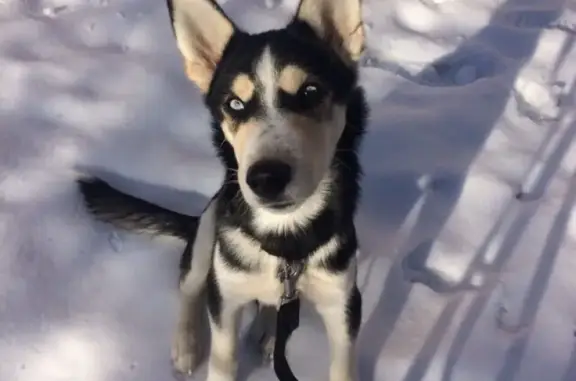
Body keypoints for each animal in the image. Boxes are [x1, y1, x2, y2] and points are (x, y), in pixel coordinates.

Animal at [77, 0, 368, 380]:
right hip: (208, 230)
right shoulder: (225, 297)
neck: (286, 242)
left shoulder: (343, 302)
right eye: (234, 104)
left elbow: (343, 365)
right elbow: (223, 357)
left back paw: (267, 330)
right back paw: (188, 343)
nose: (265, 178)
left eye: (310, 92)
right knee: (189, 283)